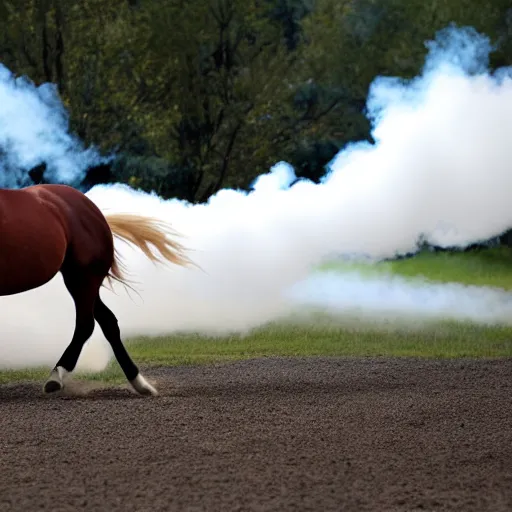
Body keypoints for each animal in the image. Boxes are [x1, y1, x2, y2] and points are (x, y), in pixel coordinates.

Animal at [0, 184, 192, 396]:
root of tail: (95, 211)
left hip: (82, 278)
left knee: (86, 324)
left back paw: (56, 376)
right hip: (84, 283)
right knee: (108, 322)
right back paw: (141, 384)